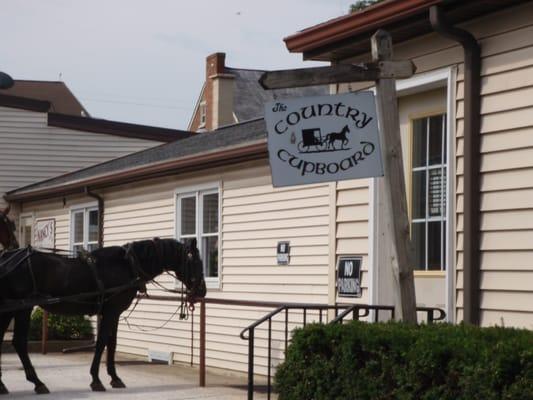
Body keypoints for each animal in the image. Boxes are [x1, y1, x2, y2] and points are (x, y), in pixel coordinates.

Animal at [0, 208, 206, 396]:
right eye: (196, 262)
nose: (202, 290)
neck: (128, 265)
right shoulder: (111, 311)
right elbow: (102, 343)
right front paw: (97, 380)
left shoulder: (113, 313)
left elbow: (112, 343)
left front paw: (114, 377)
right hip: (22, 308)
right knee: (19, 342)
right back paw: (37, 382)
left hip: (11, 309)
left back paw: (6, 385)